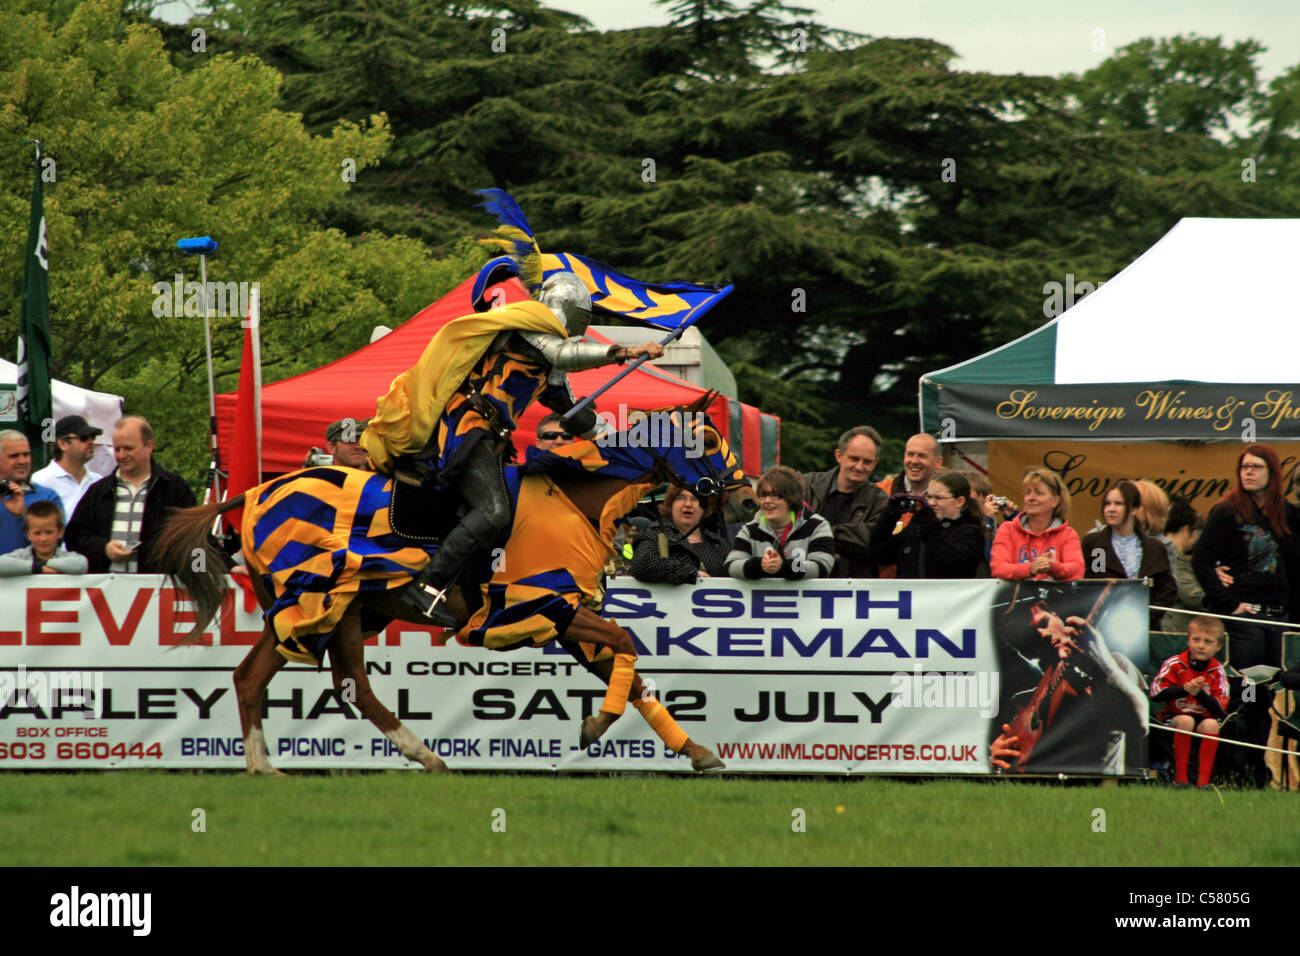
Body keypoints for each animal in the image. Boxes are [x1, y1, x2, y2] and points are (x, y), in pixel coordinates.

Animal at [157, 400, 759, 775]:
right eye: (707, 438)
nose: (747, 498)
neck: (572, 501)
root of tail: (256, 494)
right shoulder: (539, 606)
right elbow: (627, 646)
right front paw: (596, 725)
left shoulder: (565, 614)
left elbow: (630, 674)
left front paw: (696, 750)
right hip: (316, 601)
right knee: (317, 681)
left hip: (337, 611)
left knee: (287, 680)